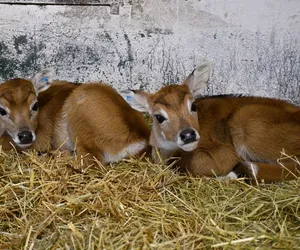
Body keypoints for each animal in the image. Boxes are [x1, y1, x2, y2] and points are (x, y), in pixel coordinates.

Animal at [121, 63, 300, 183]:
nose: (188, 134)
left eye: (193, 106)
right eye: (159, 117)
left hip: (249, 125)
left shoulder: (227, 152)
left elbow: (195, 165)